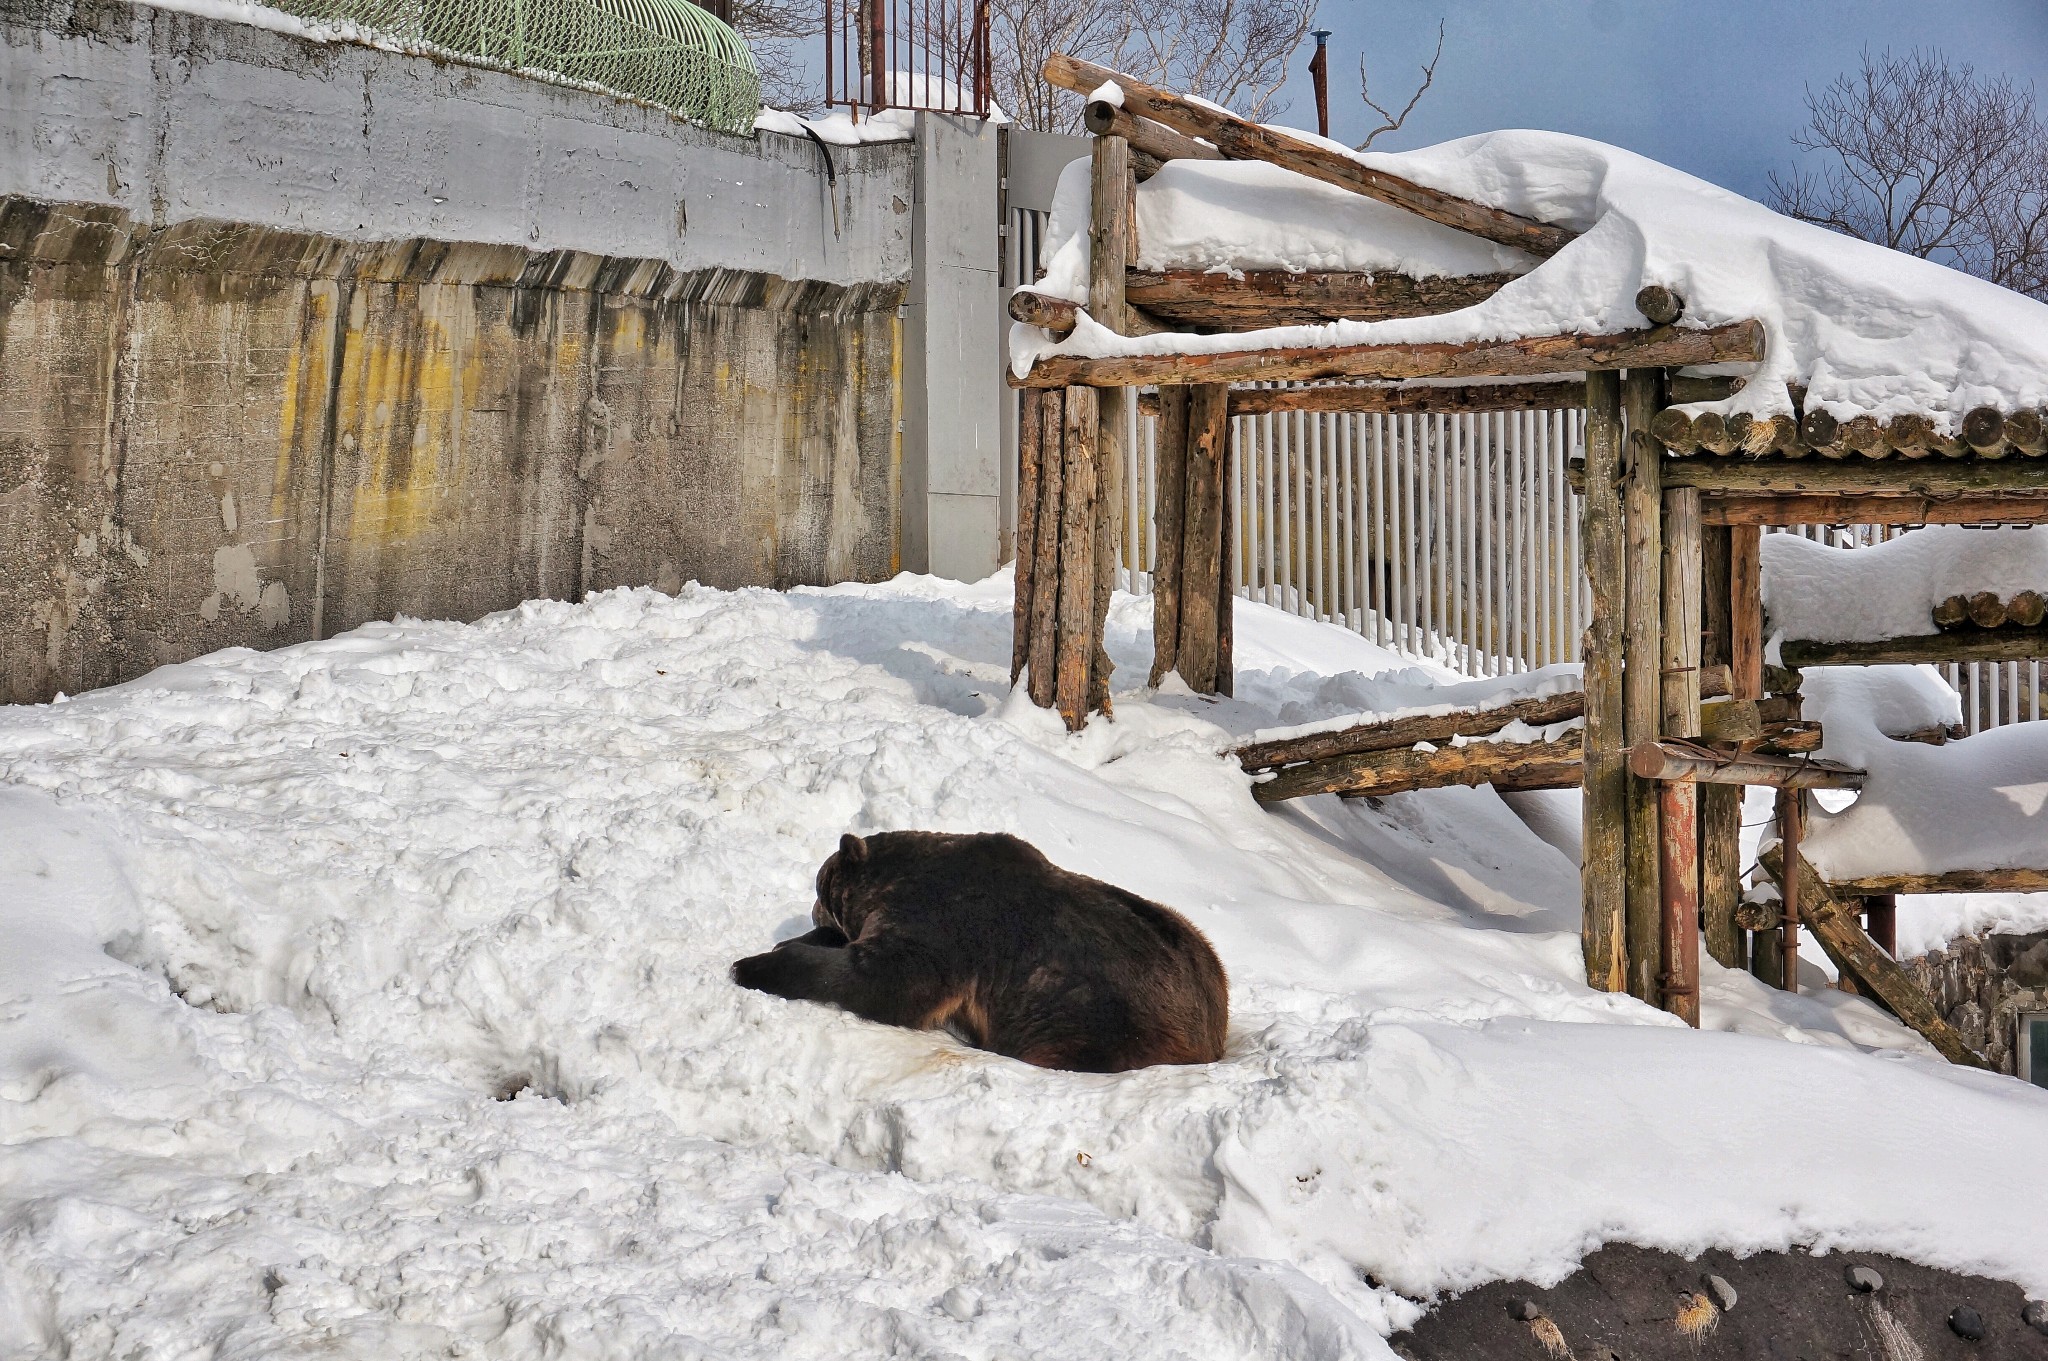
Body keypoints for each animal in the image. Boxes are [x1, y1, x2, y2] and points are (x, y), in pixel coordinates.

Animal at [729, 826, 1220, 1072]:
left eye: (818, 883)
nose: (814, 911)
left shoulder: (942, 921)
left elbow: (886, 979)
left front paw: (751, 965)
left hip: (1097, 1018)